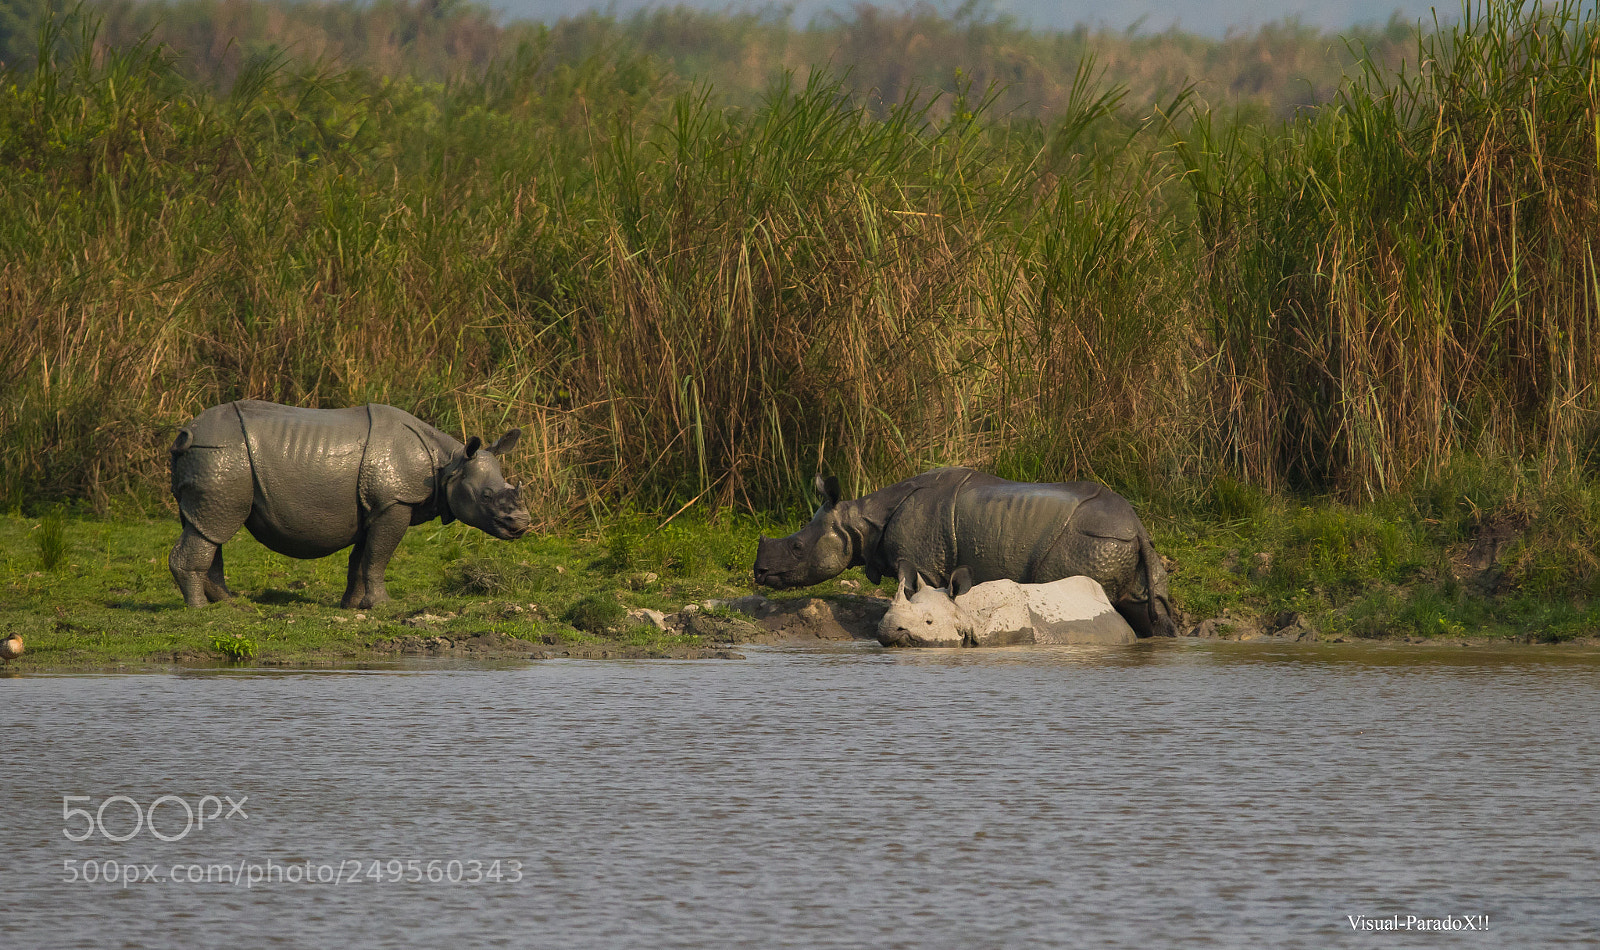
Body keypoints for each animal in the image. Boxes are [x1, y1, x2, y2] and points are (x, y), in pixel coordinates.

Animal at [168, 400, 531, 609]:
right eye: (486, 497)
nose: (522, 523)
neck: (449, 464)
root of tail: (187, 432)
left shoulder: (374, 507)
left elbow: (362, 558)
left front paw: (352, 604)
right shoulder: (394, 502)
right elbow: (379, 556)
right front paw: (382, 606)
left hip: (211, 460)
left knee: (204, 526)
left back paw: (230, 604)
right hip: (222, 456)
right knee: (214, 527)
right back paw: (200, 610)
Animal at [753, 468, 1174, 637]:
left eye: (797, 547)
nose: (759, 573)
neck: (861, 521)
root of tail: (1136, 526)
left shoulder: (919, 561)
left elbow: (915, 593)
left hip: (1088, 541)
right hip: (1122, 545)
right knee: (1144, 606)